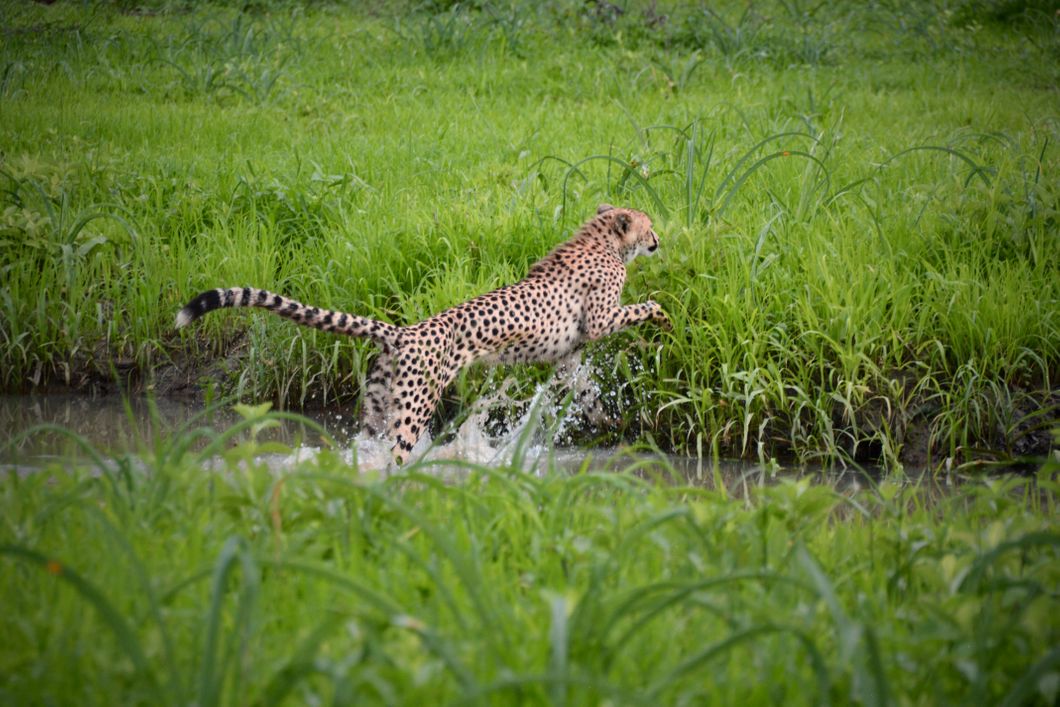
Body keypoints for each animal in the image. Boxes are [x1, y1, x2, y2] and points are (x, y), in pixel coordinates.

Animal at [175, 204, 670, 465]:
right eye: (649, 225)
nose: (659, 240)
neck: (603, 241)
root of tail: (403, 331)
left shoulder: (568, 355)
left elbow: (584, 388)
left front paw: (608, 421)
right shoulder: (600, 318)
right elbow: (643, 307)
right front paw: (664, 318)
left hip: (380, 406)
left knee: (369, 447)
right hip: (415, 407)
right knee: (395, 456)